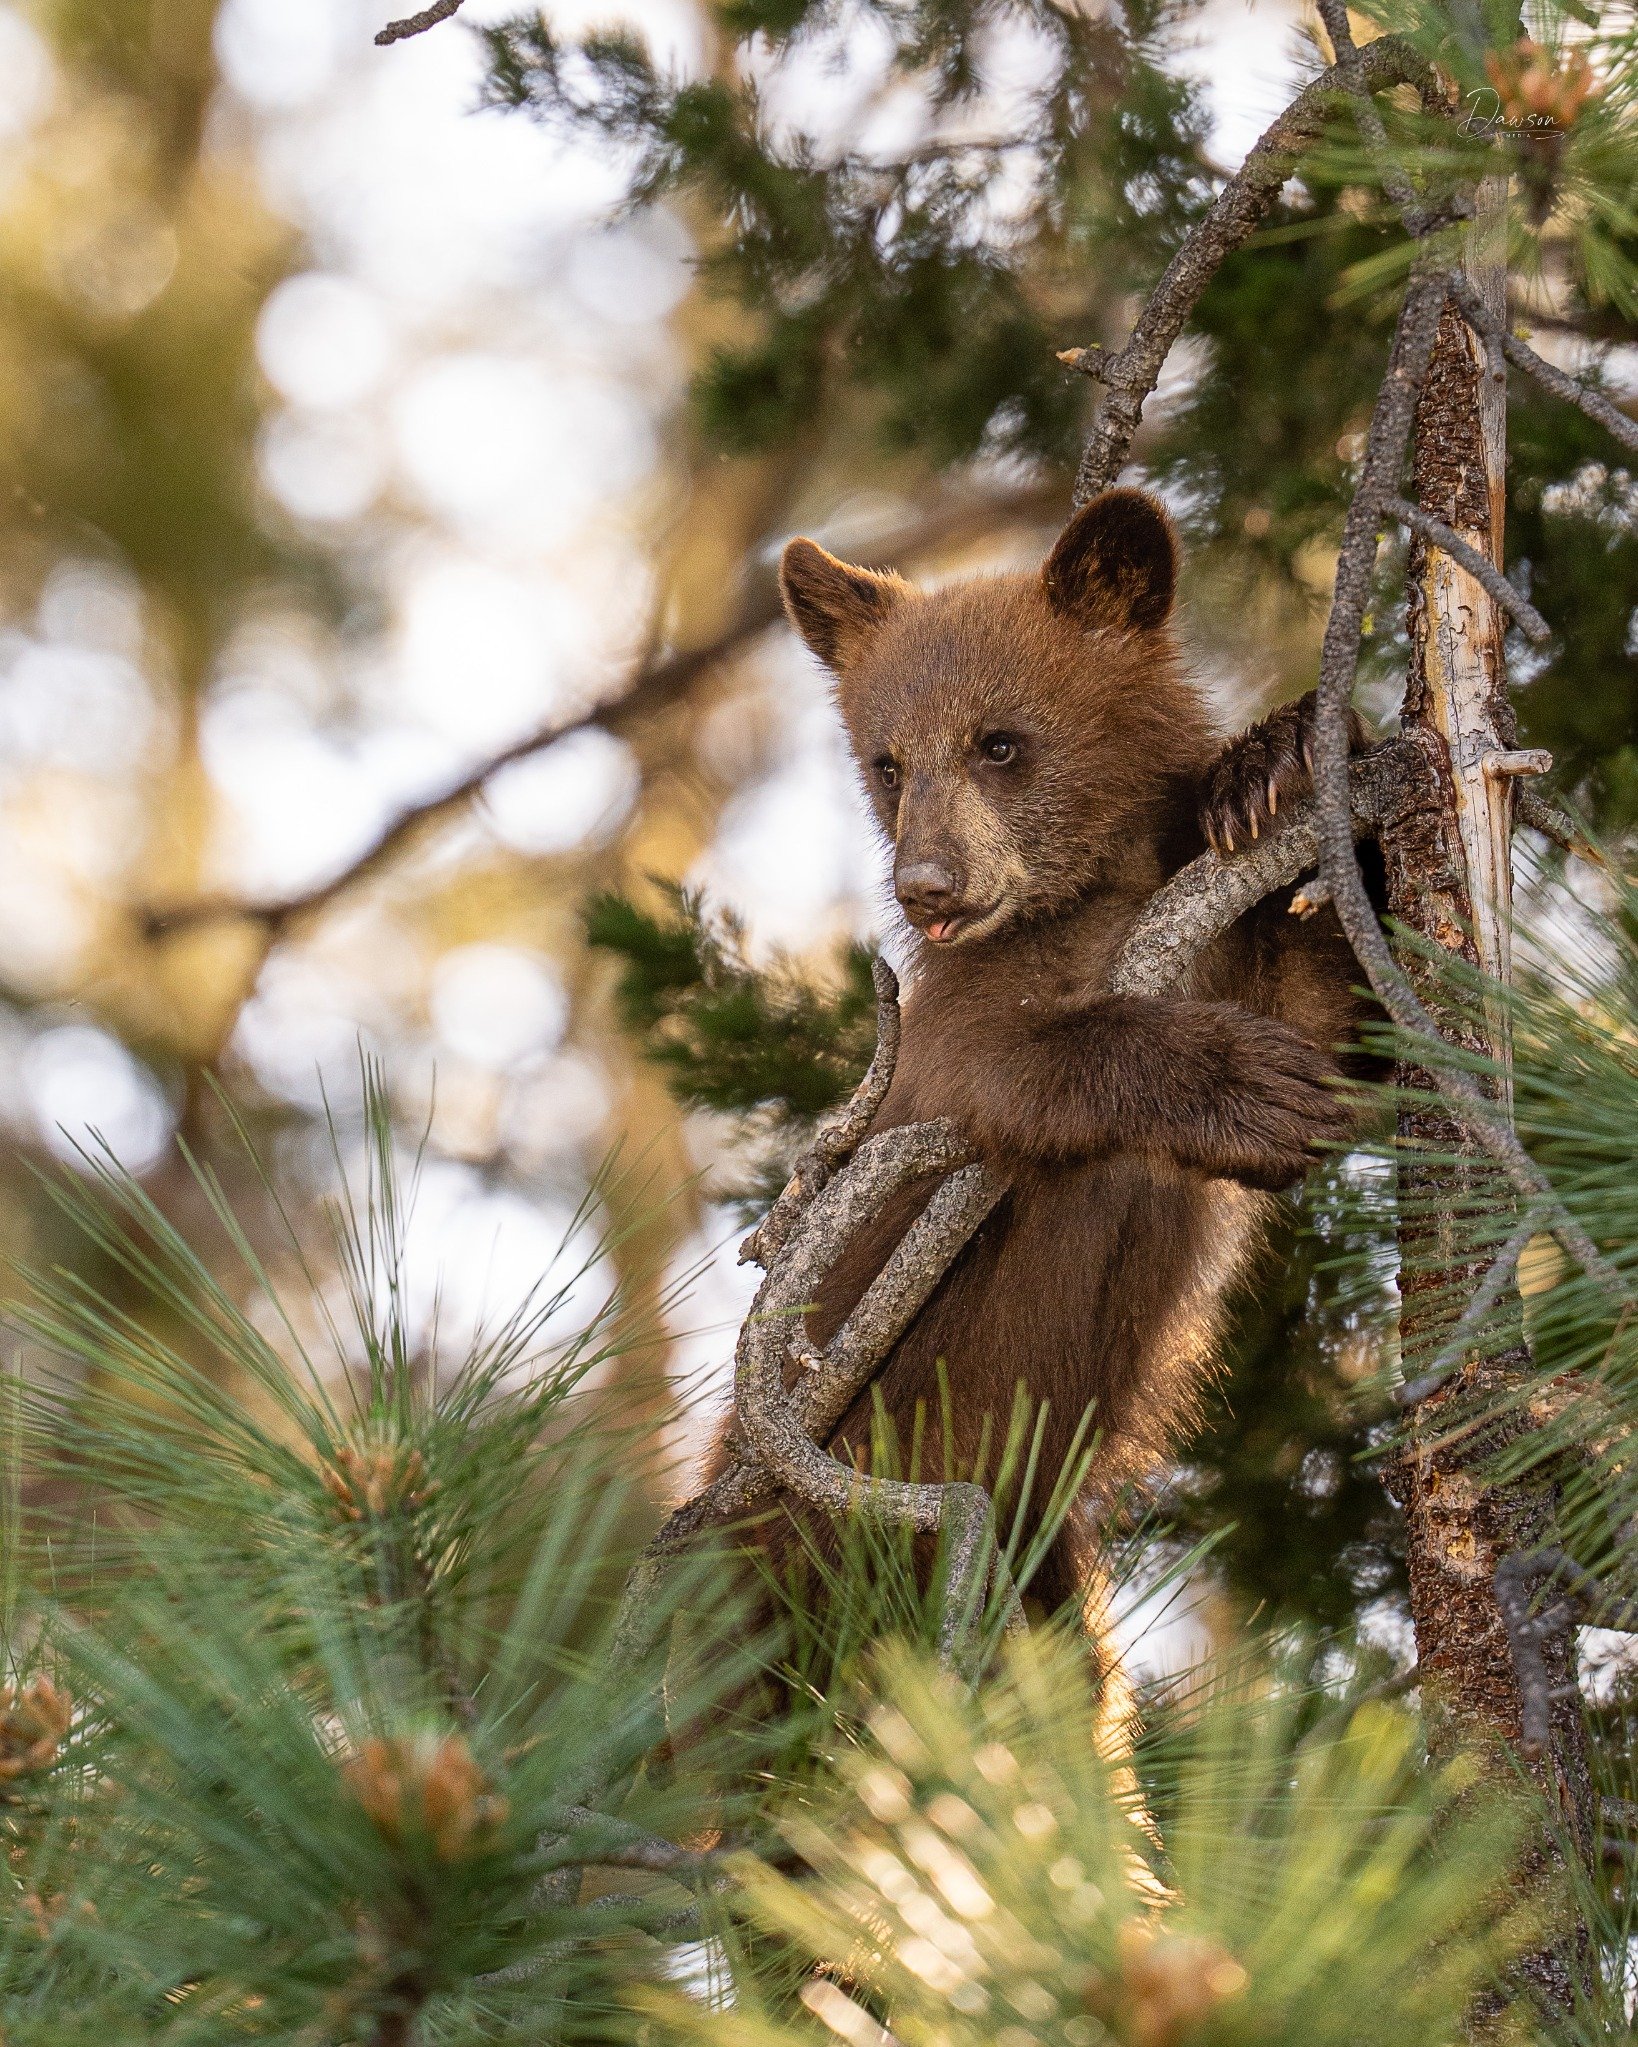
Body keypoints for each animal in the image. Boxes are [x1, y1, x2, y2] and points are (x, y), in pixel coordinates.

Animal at [712, 487, 1373, 1622]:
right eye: (888, 764)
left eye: (1000, 743)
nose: (928, 888)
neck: (1098, 892)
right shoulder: (949, 1012)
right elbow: (1002, 1061)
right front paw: (1247, 1087)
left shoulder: (1221, 939)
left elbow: (1343, 1016)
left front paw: (1278, 761)